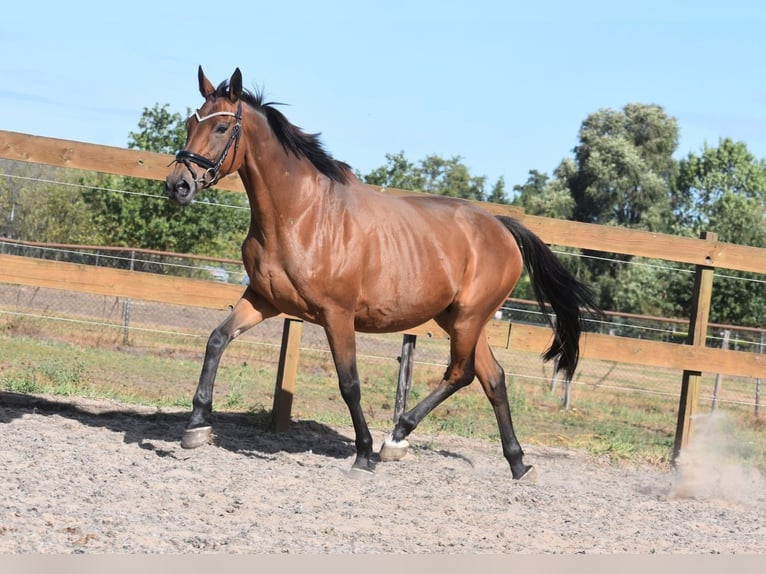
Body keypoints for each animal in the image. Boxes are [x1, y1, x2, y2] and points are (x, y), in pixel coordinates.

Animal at [165, 66, 600, 480]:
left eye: (221, 128)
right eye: (190, 123)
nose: (178, 185)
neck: (300, 216)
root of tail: (502, 227)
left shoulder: (337, 315)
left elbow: (350, 384)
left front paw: (362, 455)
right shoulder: (263, 299)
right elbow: (216, 340)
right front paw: (196, 427)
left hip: (468, 317)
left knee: (461, 374)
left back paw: (395, 438)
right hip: (457, 318)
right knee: (493, 377)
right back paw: (517, 463)